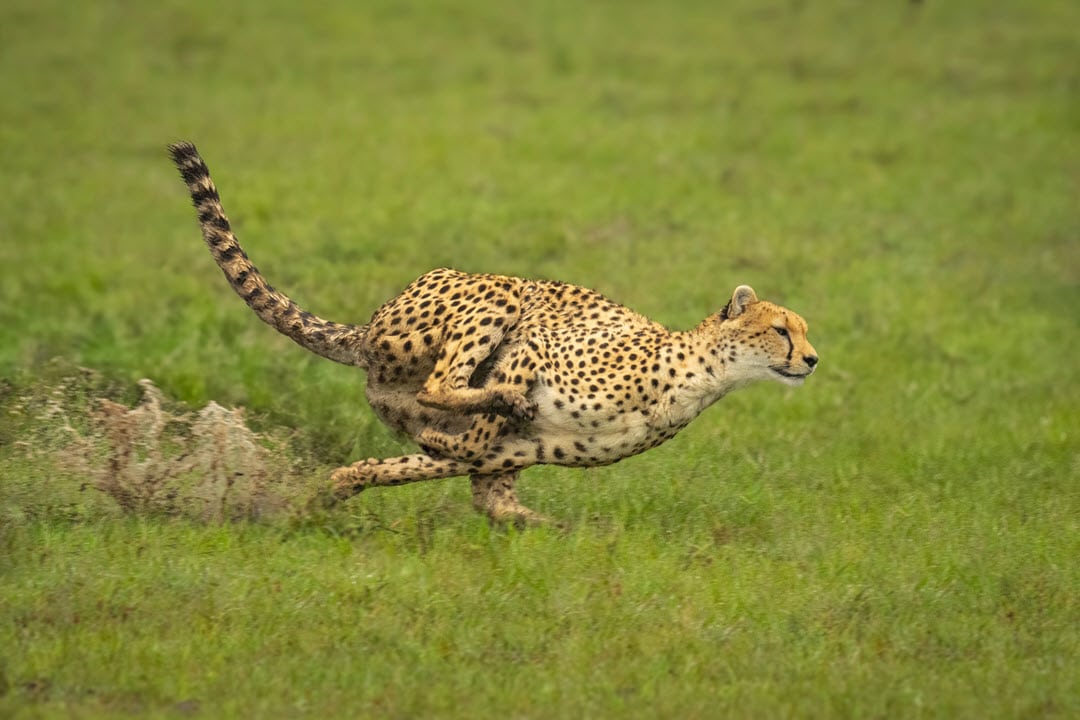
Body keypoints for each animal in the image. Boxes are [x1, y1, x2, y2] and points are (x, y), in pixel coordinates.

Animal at [169, 141, 818, 523]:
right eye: (782, 330)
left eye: (804, 332)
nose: (812, 360)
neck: (702, 374)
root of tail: (369, 326)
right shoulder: (533, 350)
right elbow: (475, 432)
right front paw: (496, 409)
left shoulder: (520, 453)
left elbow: (484, 487)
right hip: (496, 294)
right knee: (439, 385)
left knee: (428, 453)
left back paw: (343, 485)